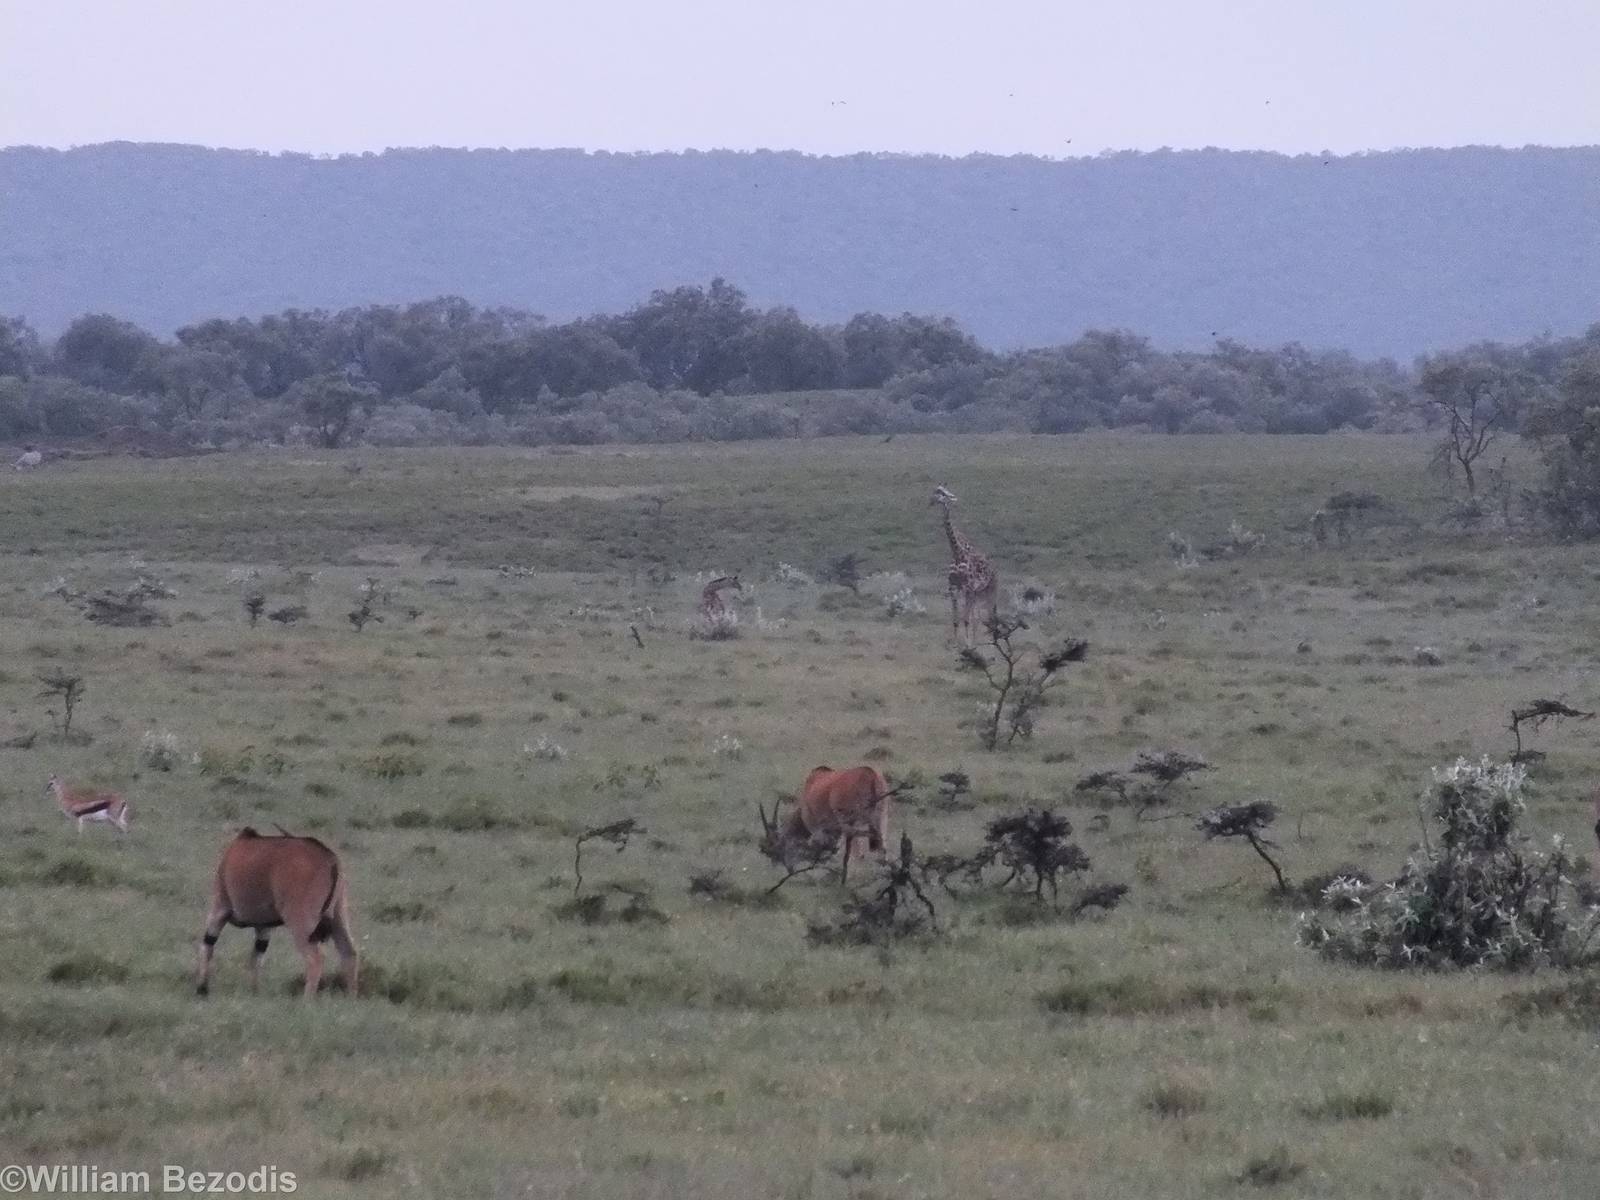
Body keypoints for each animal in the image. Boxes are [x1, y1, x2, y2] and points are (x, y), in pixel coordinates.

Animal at [196, 827, 359, 999]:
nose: (201, 990)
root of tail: (330, 858)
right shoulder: (264, 927)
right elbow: (256, 957)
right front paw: (254, 991)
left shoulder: (220, 909)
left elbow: (208, 945)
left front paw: (202, 987)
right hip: (338, 917)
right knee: (349, 952)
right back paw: (351, 997)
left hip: (300, 921)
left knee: (316, 957)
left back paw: (307, 999)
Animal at [759, 765, 895, 884]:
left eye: (771, 849)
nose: (775, 868)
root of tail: (871, 775)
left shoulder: (818, 830)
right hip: (881, 817)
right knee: (881, 845)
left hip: (853, 822)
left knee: (862, 849)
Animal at [930, 486, 998, 646]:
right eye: (937, 491)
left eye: (944, 494)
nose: (931, 501)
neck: (957, 555)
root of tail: (994, 569)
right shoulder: (954, 588)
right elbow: (957, 619)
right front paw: (956, 643)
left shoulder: (969, 588)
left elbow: (965, 619)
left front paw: (967, 644)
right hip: (978, 593)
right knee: (977, 617)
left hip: (990, 589)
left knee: (989, 614)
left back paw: (990, 641)